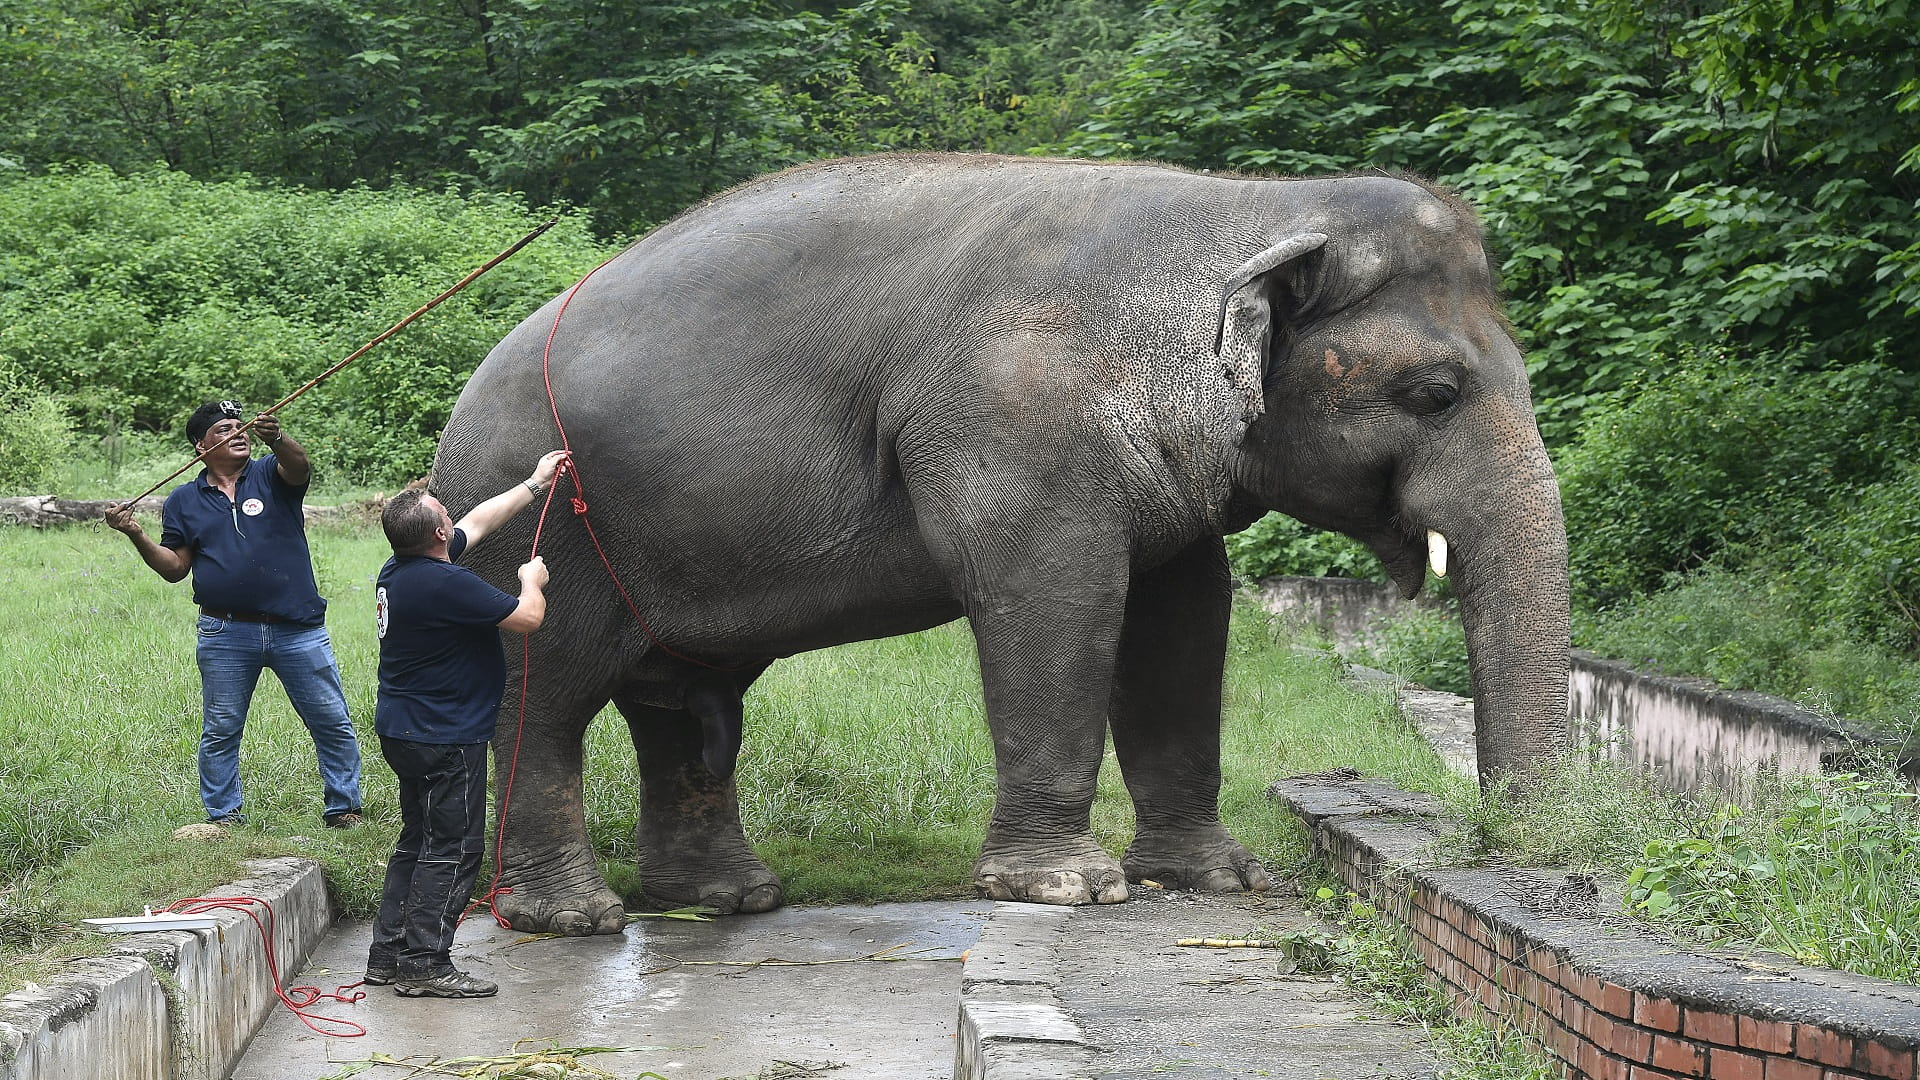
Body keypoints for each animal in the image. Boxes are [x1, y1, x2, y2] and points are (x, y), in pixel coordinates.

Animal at [433, 153, 1571, 935]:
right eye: (1436, 393)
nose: (1516, 852)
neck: (1251, 207)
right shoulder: (1014, 428)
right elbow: (1058, 597)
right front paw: (1070, 889)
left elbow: (1182, 621)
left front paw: (1217, 878)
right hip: (532, 524)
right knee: (551, 697)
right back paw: (574, 917)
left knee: (683, 705)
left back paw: (731, 899)